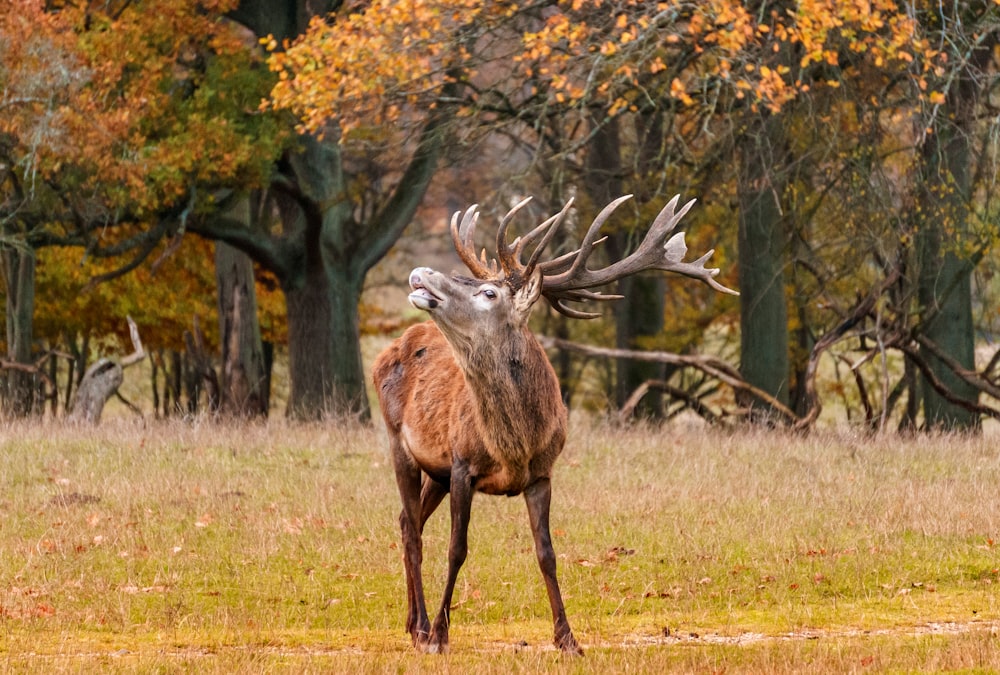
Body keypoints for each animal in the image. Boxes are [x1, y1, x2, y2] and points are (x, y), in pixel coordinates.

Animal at [372, 191, 740, 656]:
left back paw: (410, 624)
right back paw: (420, 628)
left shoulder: (541, 473)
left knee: (409, 522)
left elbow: (546, 553)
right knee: (412, 530)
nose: (421, 273)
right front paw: (440, 635)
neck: (515, 446)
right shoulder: (461, 464)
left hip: (433, 470)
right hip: (397, 441)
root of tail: (390, 348)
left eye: (488, 291)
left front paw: (568, 639)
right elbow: (457, 548)